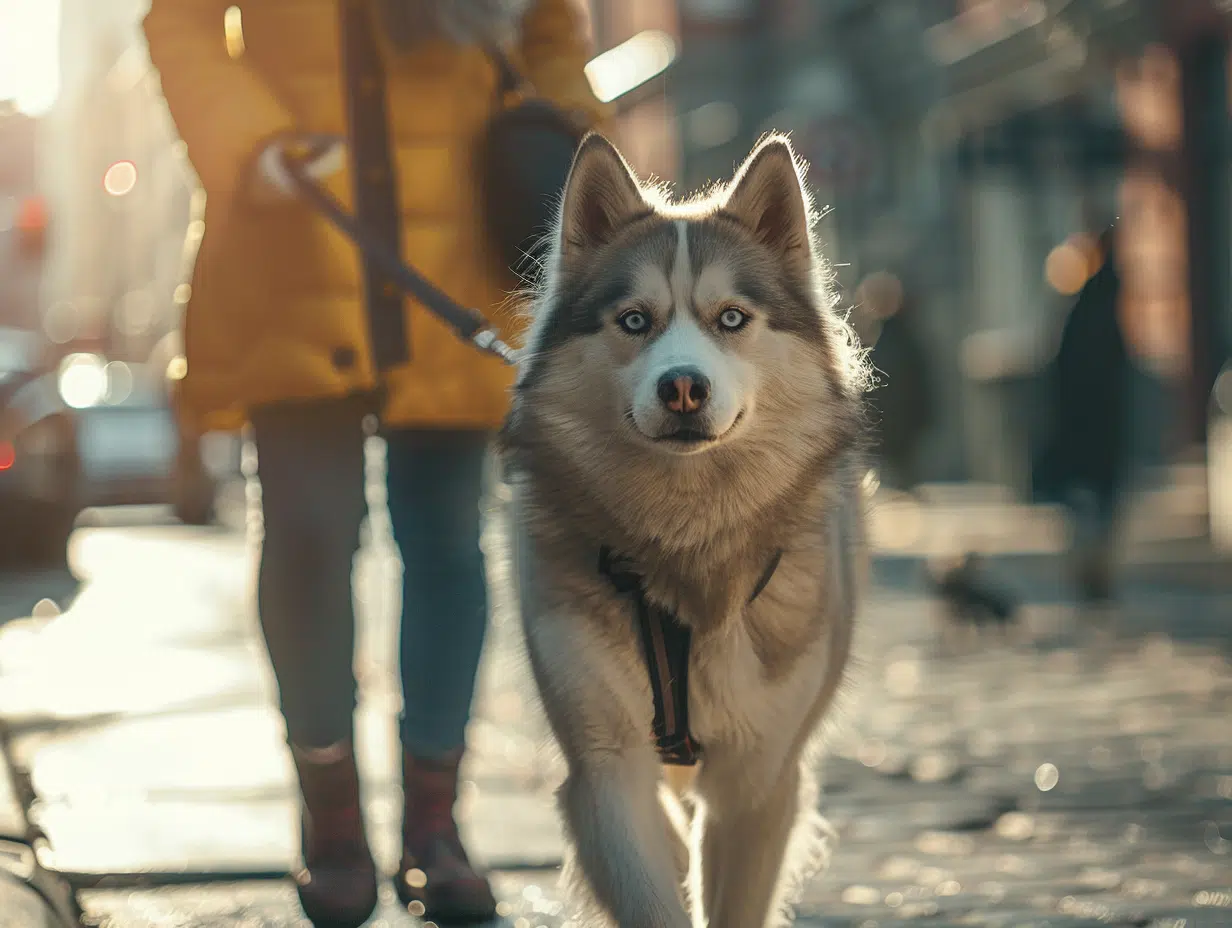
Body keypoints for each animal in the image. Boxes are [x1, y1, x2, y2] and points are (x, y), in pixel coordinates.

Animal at [497, 131, 867, 926]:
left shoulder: (759, 780)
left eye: (730, 318)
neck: (685, 533)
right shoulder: (606, 766)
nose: (684, 387)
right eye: (636, 320)